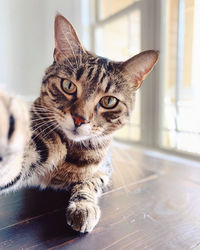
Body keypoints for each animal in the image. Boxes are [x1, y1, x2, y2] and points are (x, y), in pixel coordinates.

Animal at [0, 14, 159, 233]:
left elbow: (90, 182)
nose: (79, 119)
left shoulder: (104, 169)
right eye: (68, 85)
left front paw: (83, 205)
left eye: (109, 101)